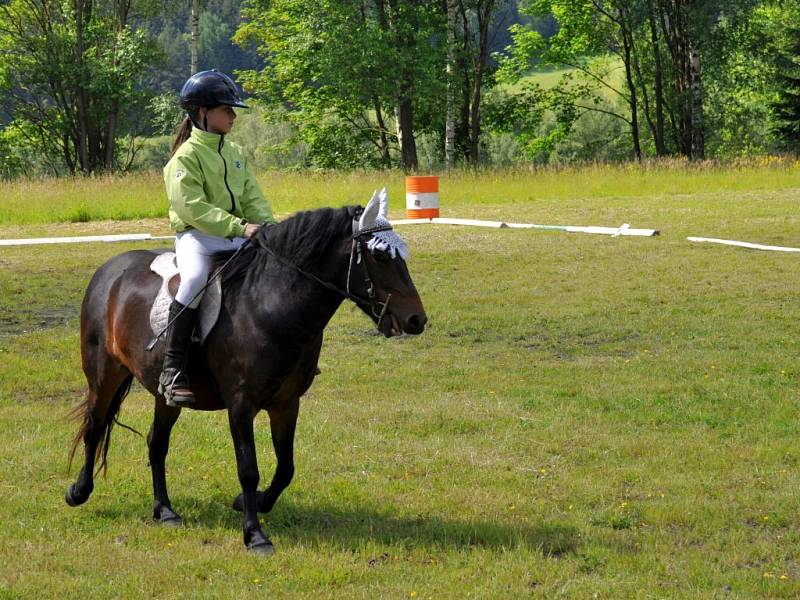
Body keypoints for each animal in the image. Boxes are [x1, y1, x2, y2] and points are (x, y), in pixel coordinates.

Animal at [65, 197, 428, 552]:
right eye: (379, 255)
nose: (416, 320)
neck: (269, 306)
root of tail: (111, 270)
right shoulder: (241, 405)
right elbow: (249, 469)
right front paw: (254, 534)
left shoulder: (286, 404)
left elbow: (286, 468)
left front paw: (250, 503)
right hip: (103, 375)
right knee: (95, 428)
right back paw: (79, 491)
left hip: (164, 394)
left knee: (157, 443)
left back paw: (164, 510)